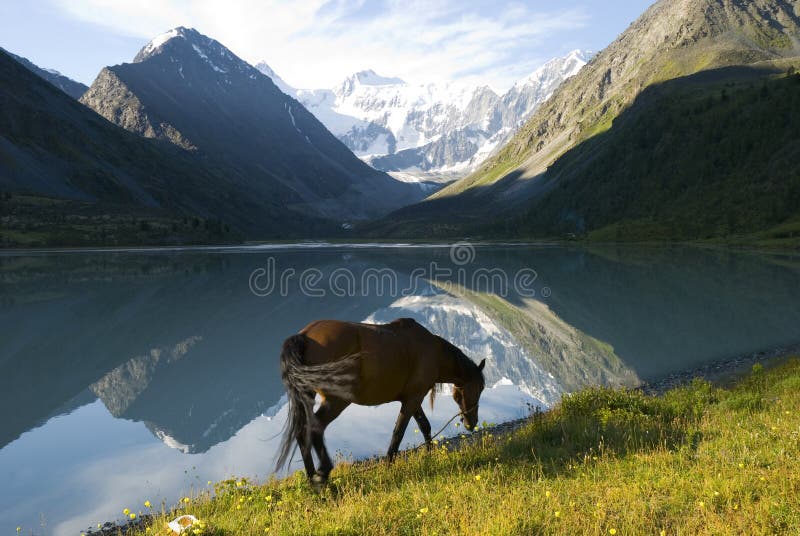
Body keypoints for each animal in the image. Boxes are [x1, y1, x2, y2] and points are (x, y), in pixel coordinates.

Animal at [276, 318, 488, 486]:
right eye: (480, 388)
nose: (471, 423)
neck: (432, 351)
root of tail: (304, 336)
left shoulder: (412, 398)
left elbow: (424, 426)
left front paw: (430, 455)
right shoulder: (413, 399)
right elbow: (399, 433)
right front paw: (389, 466)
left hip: (308, 396)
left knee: (302, 432)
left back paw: (311, 478)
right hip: (337, 400)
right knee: (315, 428)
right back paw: (323, 476)